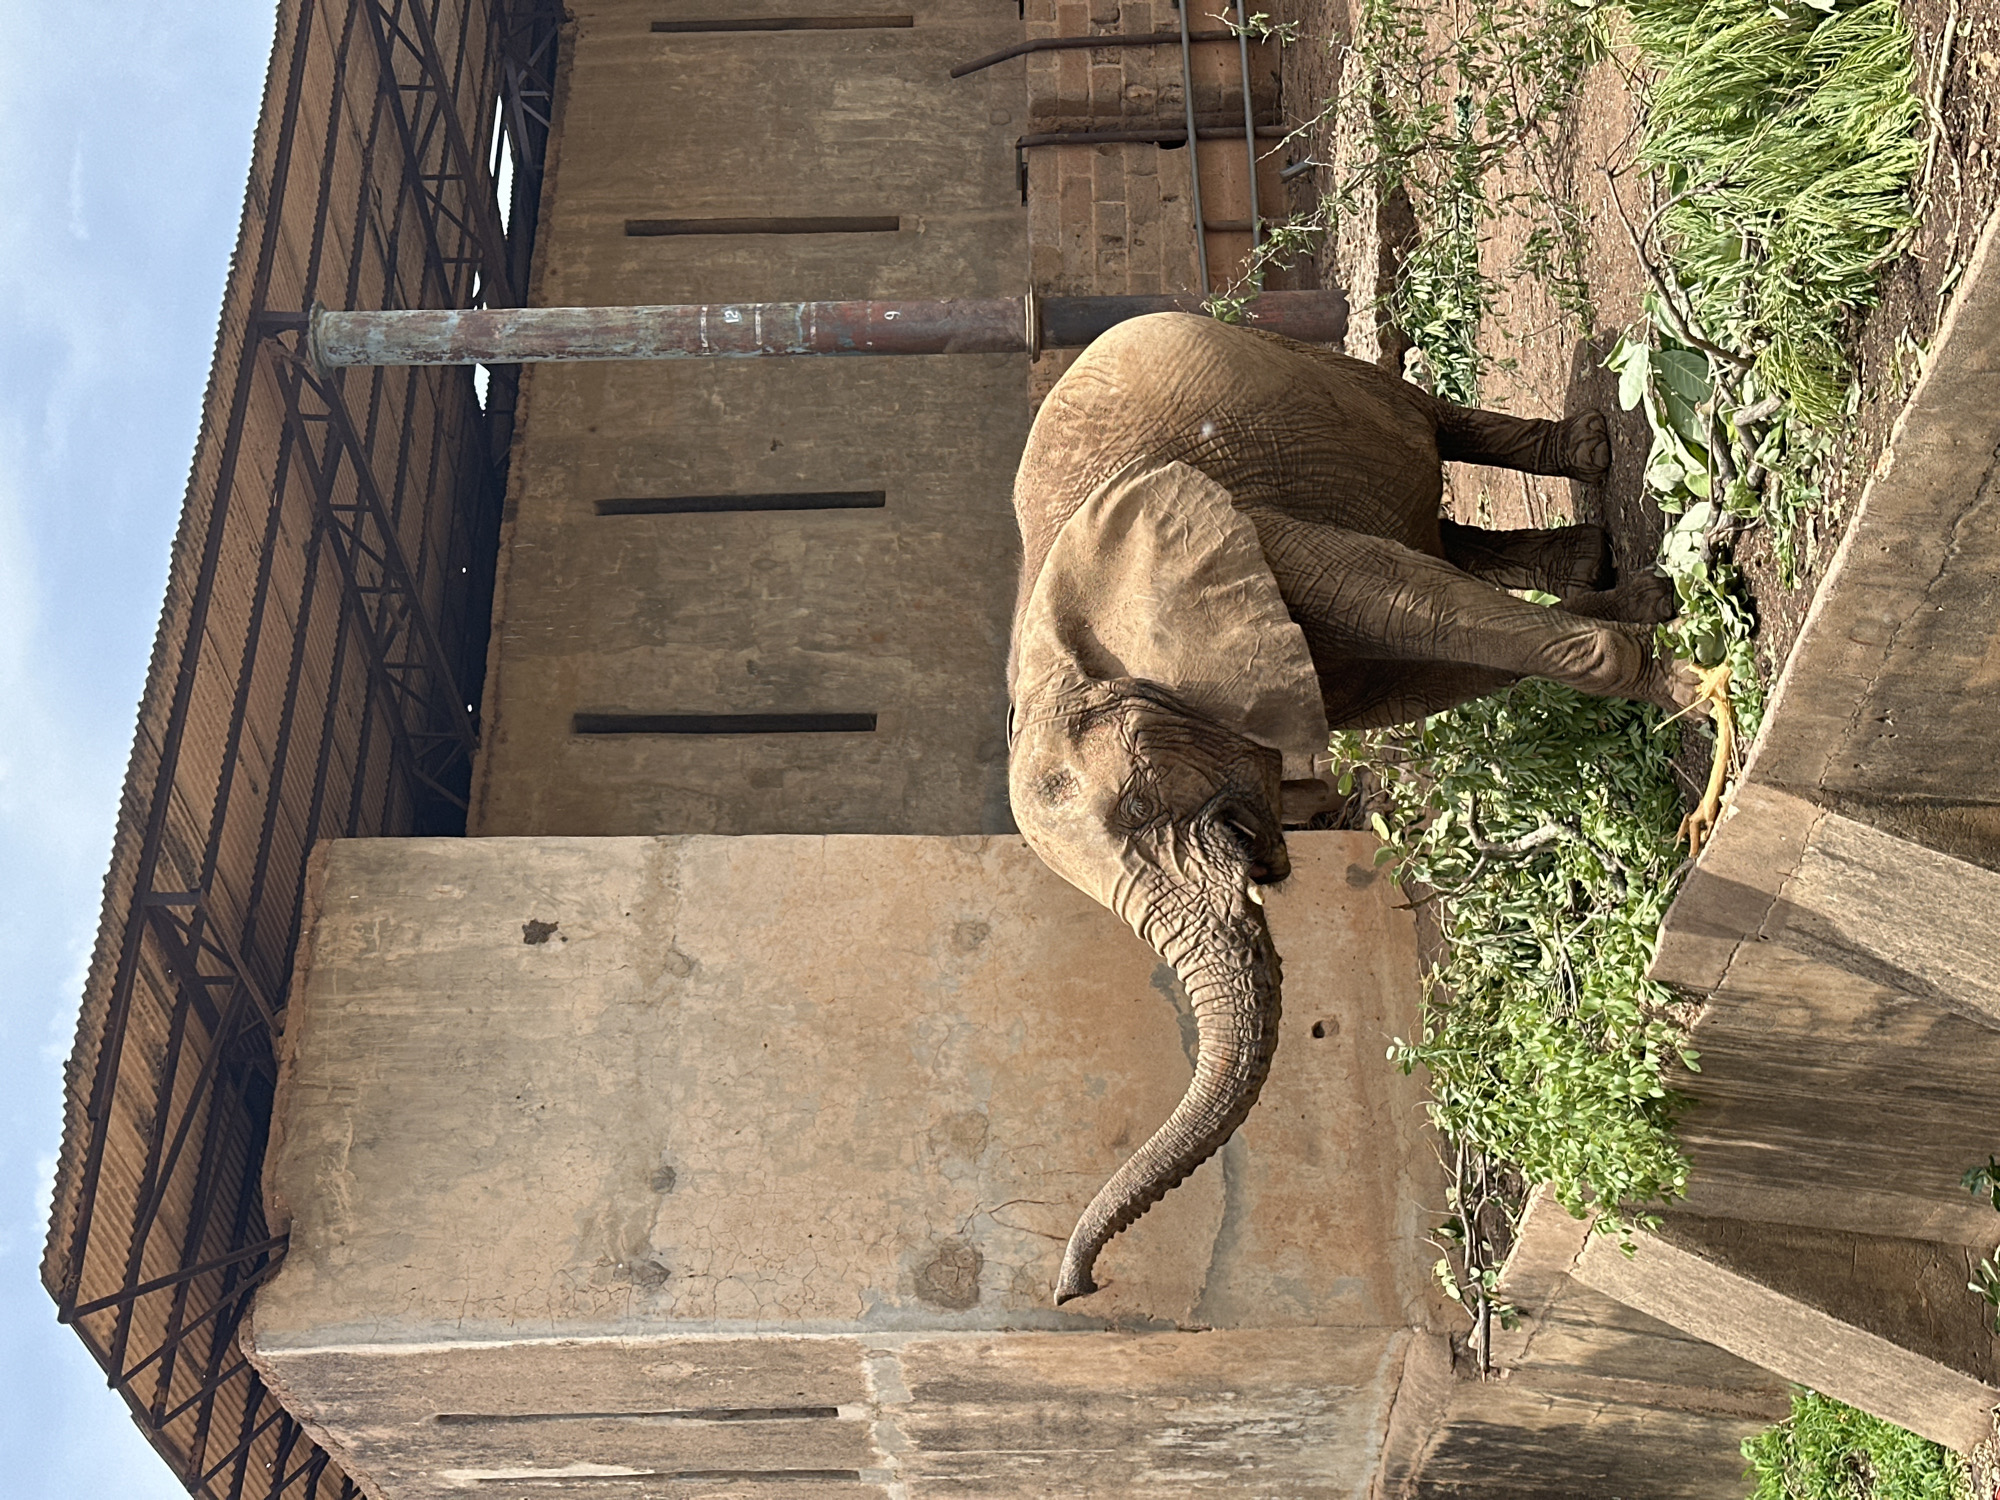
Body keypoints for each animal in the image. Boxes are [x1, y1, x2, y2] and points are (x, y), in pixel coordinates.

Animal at [1006, 312, 1694, 1305]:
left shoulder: (1256, 528)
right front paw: (1649, 626)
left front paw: (1678, 673)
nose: (1080, 1293)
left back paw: (1598, 456)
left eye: (1140, 803)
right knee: (1438, 534)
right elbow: (1430, 663)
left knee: (1422, 429)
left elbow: (1407, 603)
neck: (1061, 650)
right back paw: (1598, 558)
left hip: (1304, 362)